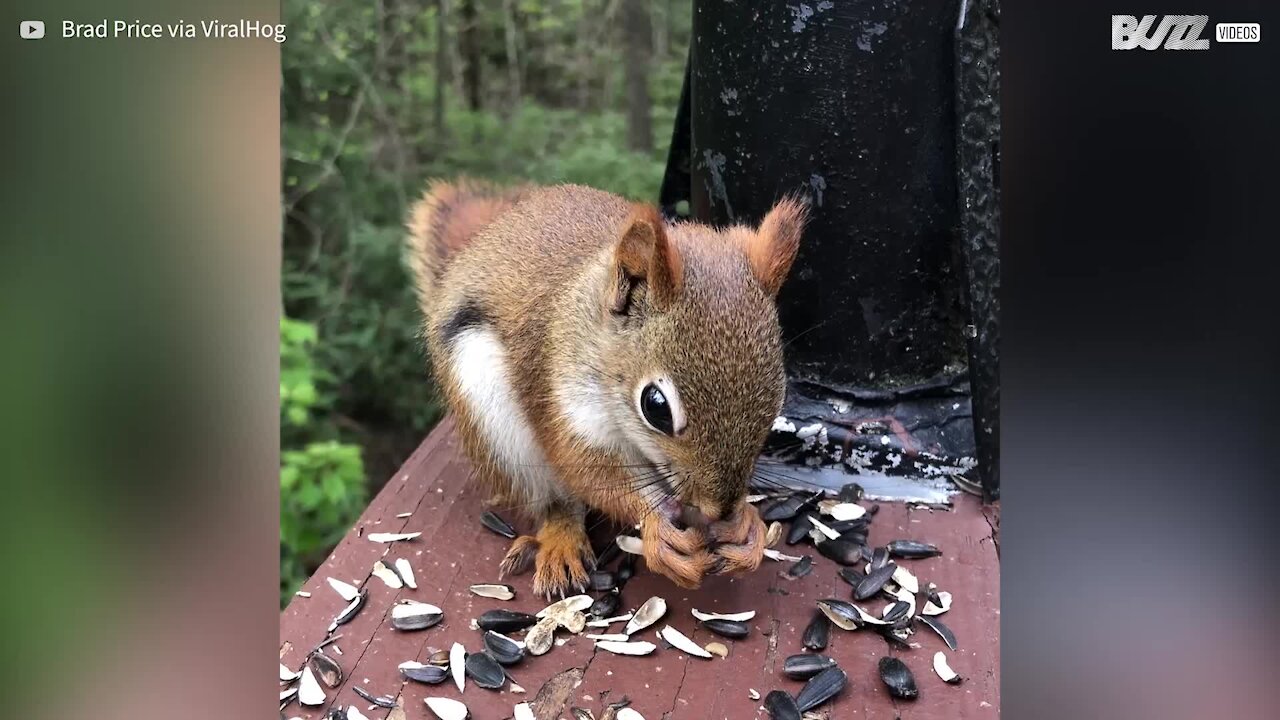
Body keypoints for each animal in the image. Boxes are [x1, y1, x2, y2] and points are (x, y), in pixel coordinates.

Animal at [407, 179, 808, 594]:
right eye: (656, 407)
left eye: (777, 401)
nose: (719, 508)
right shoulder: (562, 398)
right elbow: (590, 473)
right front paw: (657, 526)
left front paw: (747, 527)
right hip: (492, 422)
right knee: (552, 500)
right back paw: (561, 539)